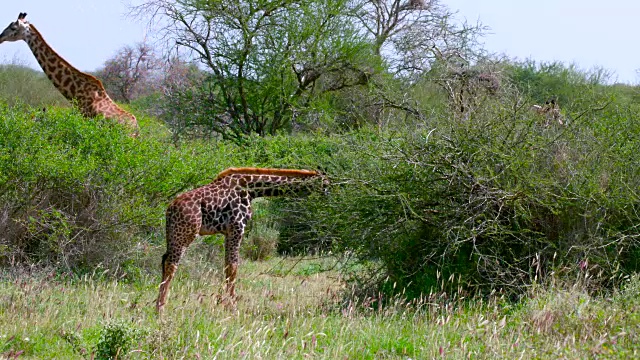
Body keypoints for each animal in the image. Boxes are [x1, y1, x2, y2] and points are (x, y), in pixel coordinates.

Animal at [156, 168, 330, 312]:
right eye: (326, 183)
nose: (329, 195)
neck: (251, 189)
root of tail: (169, 209)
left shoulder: (228, 232)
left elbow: (227, 266)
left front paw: (225, 304)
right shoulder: (237, 227)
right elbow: (233, 267)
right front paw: (233, 307)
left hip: (173, 234)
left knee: (164, 260)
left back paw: (157, 306)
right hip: (186, 234)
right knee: (171, 264)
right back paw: (161, 310)